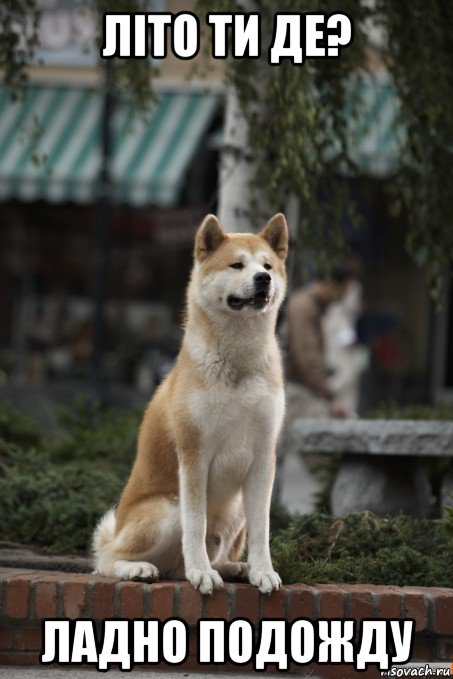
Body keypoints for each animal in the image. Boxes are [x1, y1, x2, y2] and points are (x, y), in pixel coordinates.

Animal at [93, 212, 288, 596]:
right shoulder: (194, 454)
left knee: (203, 558)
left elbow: (262, 530)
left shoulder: (263, 457)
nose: (263, 279)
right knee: (108, 560)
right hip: (167, 508)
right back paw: (142, 568)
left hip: (236, 509)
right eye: (237, 264)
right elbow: (195, 526)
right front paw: (201, 573)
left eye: (268, 266)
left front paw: (263, 571)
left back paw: (235, 568)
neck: (237, 364)